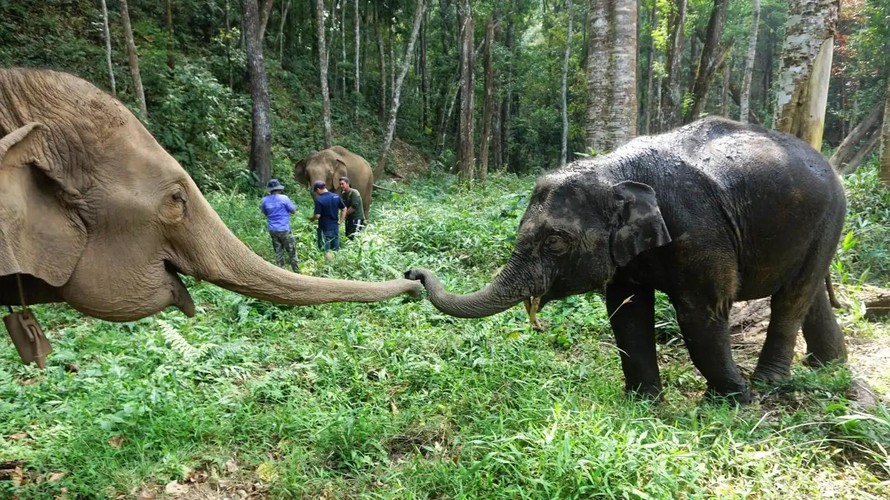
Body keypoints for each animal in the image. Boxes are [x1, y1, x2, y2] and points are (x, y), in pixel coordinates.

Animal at [406, 118, 844, 406]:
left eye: (555, 241)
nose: (413, 273)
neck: (613, 170)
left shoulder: (699, 230)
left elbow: (700, 313)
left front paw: (733, 400)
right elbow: (626, 311)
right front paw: (643, 403)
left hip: (829, 217)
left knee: (791, 298)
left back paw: (769, 384)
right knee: (809, 295)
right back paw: (828, 365)